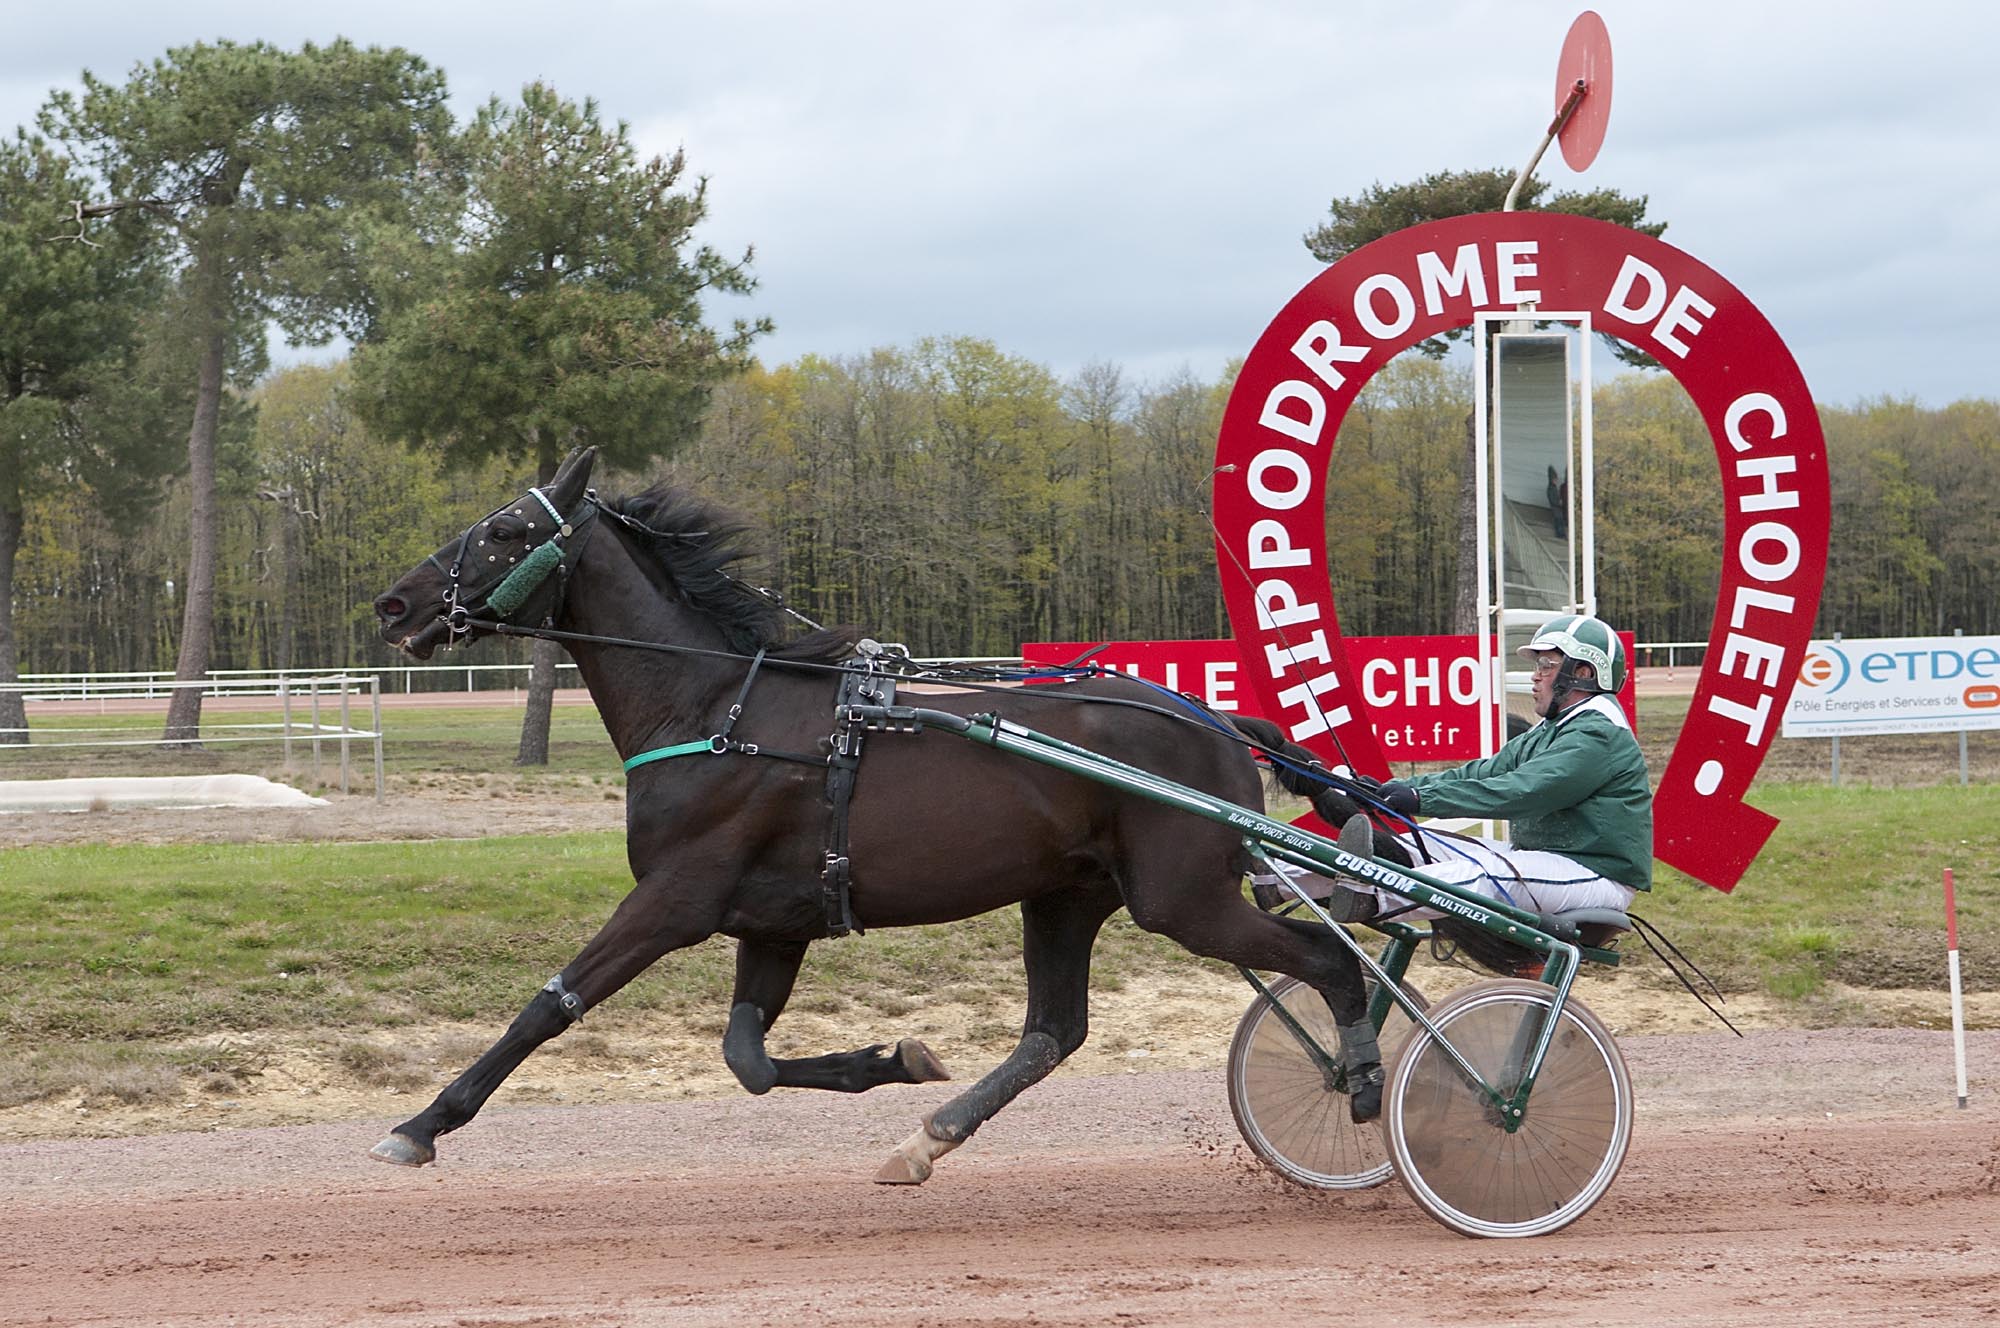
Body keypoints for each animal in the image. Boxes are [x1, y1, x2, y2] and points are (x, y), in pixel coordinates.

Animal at [372, 448, 1376, 1184]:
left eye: (503, 530)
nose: (395, 601)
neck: (718, 713)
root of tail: (1216, 719)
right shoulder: (772, 919)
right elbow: (747, 1057)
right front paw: (891, 1062)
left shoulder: (675, 898)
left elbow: (550, 1006)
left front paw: (422, 1124)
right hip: (1066, 894)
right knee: (1053, 1032)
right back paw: (927, 1138)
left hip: (1182, 898)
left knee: (1331, 962)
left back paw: (1361, 1078)